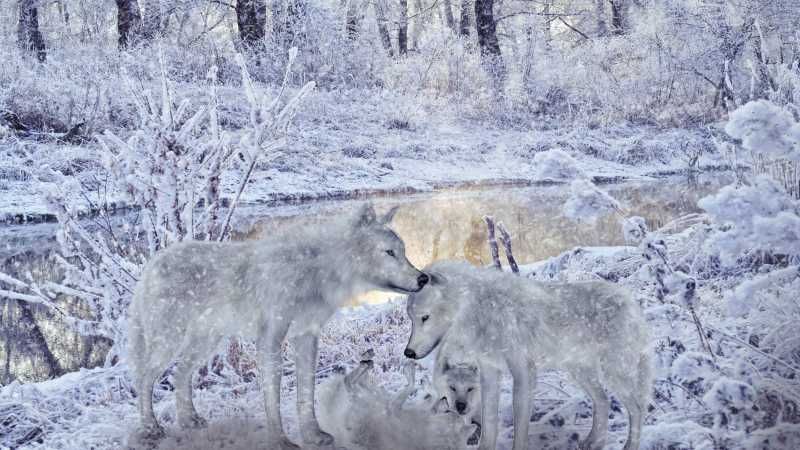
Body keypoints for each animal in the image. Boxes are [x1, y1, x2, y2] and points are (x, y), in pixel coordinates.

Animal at [128, 203, 428, 446]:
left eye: (403, 251)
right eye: (389, 252)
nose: (423, 278)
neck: (317, 272)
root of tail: (152, 264)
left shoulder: (307, 336)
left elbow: (306, 393)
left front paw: (313, 436)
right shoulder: (271, 338)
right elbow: (272, 398)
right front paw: (280, 441)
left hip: (205, 343)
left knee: (180, 374)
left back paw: (190, 421)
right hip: (170, 342)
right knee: (144, 377)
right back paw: (150, 428)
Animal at [316, 354, 478, 448]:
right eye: (449, 411)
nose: (446, 400)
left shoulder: (393, 408)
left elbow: (410, 388)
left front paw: (412, 373)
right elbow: (428, 394)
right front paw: (425, 383)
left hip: (360, 402)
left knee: (349, 382)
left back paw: (362, 368)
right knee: (361, 383)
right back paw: (366, 367)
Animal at [404, 262, 652, 450]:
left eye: (425, 317)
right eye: (412, 319)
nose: (408, 352)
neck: (481, 311)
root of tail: (631, 301)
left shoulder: (523, 372)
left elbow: (520, 426)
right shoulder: (489, 372)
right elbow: (489, 422)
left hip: (613, 373)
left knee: (637, 408)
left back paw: (629, 446)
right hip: (581, 373)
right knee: (603, 400)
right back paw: (593, 443)